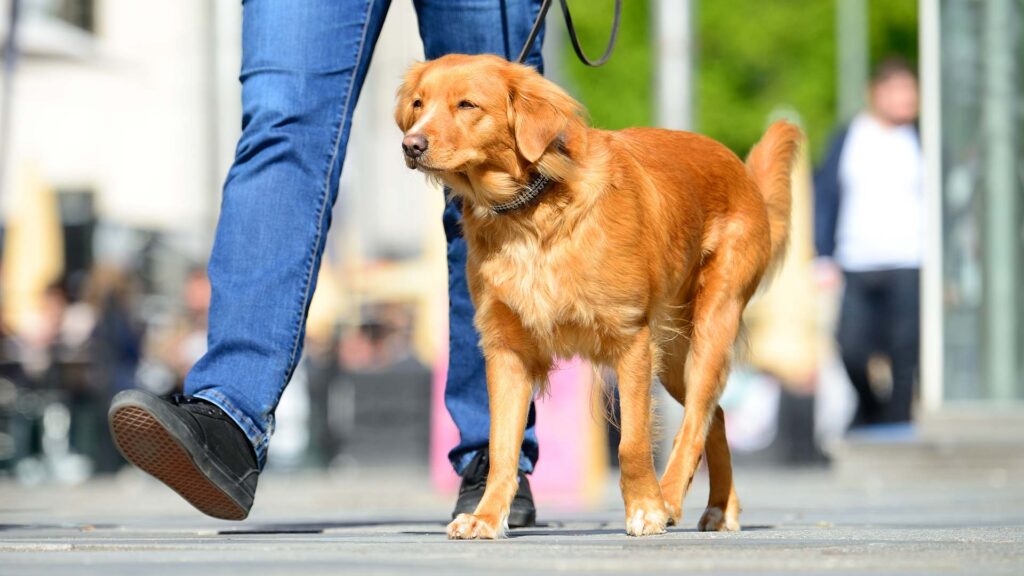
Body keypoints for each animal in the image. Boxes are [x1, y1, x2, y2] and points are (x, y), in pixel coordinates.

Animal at [395, 54, 802, 537]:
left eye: (467, 105)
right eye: (419, 104)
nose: (411, 144)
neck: (532, 212)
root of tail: (740, 170)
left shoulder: (631, 340)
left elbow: (632, 443)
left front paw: (645, 508)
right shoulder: (507, 349)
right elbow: (501, 448)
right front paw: (487, 517)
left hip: (711, 325)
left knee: (694, 422)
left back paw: (669, 498)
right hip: (674, 355)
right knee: (712, 416)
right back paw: (723, 507)